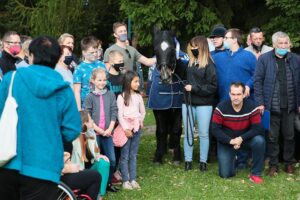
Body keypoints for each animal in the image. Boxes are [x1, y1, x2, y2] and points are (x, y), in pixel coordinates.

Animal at [148, 28, 188, 164]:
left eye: (172, 49)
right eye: (155, 50)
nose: (165, 76)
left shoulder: (178, 107)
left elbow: (176, 130)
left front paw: (177, 156)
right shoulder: (158, 107)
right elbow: (161, 130)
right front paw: (158, 156)